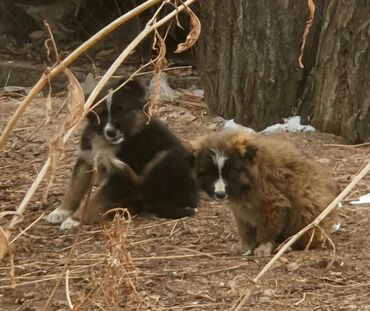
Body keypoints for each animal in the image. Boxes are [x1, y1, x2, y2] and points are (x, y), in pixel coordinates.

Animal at [47, 78, 198, 229]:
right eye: (101, 114)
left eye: (122, 110)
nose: (111, 132)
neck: (107, 143)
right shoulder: (87, 158)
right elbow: (74, 188)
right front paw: (61, 211)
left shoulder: (117, 176)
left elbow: (96, 199)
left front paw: (75, 219)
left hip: (167, 157)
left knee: (143, 190)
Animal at [192, 130, 340, 258]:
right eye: (210, 173)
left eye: (231, 171)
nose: (220, 194)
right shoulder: (241, 210)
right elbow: (245, 229)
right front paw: (246, 246)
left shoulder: (273, 204)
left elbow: (267, 228)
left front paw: (263, 246)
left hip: (307, 209)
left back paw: (286, 245)